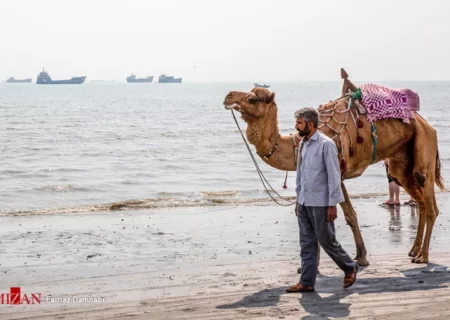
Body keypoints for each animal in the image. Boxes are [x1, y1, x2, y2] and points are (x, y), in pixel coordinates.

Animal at [222, 68, 442, 264]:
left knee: (429, 201)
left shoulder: (337, 172)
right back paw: (413, 251)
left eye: (252, 99)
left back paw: (423, 256)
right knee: (420, 201)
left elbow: (348, 215)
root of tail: (425, 122)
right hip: (400, 164)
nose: (228, 96)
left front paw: (361, 257)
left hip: (424, 145)